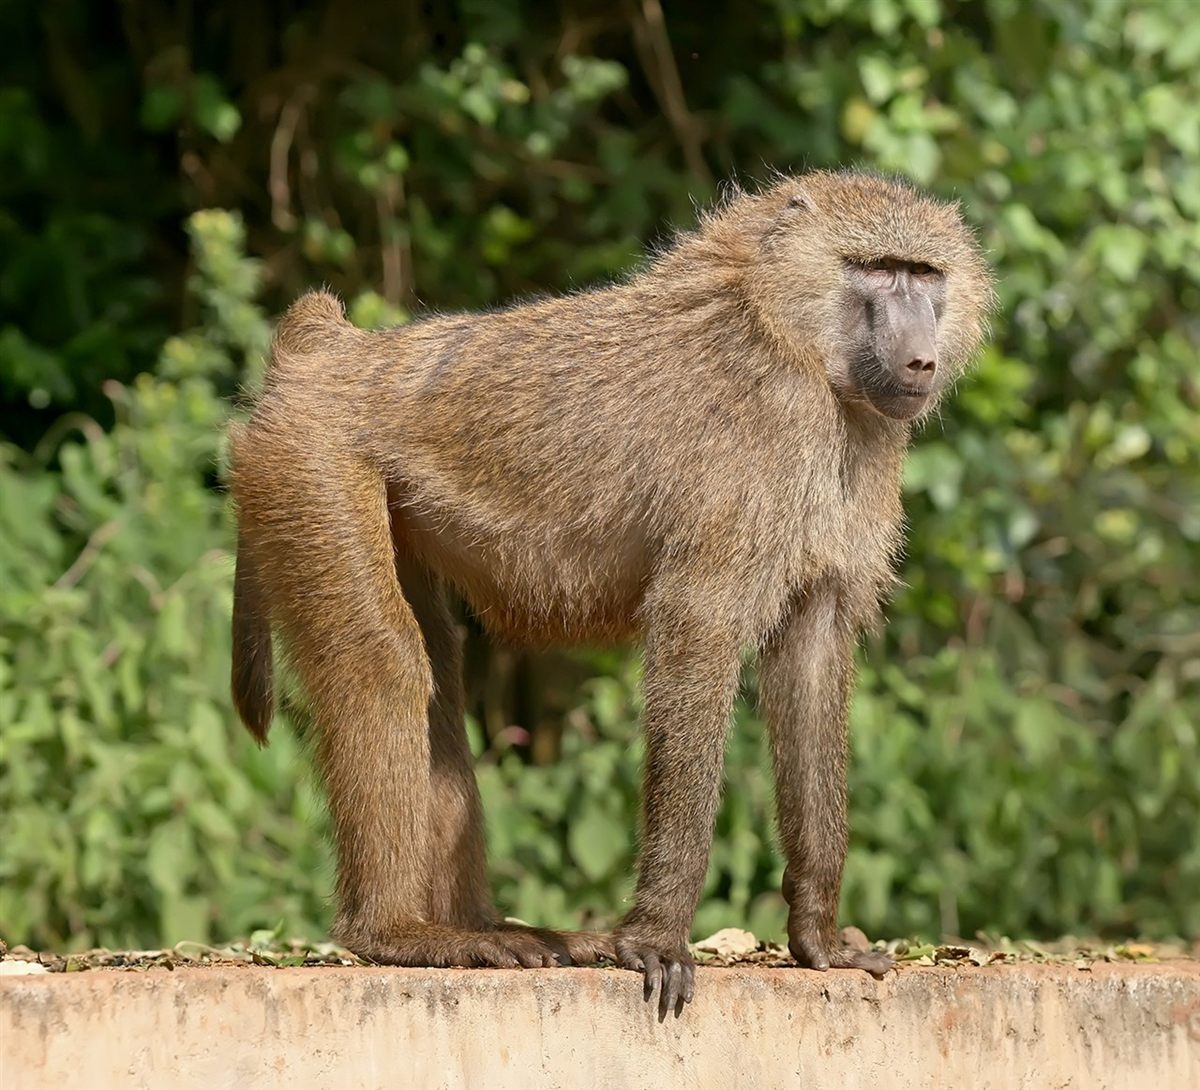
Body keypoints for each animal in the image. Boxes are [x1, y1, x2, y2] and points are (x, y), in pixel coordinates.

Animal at [228, 169, 993, 1017]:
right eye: (877, 269)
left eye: (925, 274)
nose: (920, 361)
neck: (789, 335)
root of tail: (331, 353)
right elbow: (696, 631)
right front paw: (657, 939)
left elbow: (813, 658)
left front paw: (820, 939)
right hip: (312, 463)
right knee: (385, 664)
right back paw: (398, 934)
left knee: (438, 691)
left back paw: (479, 928)